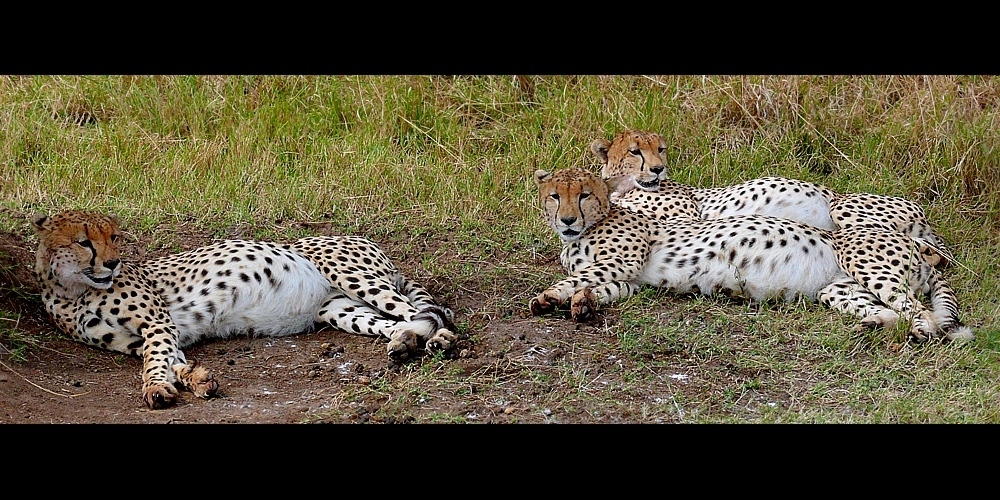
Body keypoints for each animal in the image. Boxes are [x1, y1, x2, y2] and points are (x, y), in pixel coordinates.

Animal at [32, 209, 458, 408]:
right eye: (85, 242)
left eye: (115, 237)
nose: (113, 263)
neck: (73, 289)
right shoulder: (138, 338)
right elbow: (170, 360)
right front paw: (196, 379)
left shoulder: (157, 322)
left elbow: (156, 362)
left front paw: (155, 388)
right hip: (338, 309)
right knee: (393, 322)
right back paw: (404, 342)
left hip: (353, 275)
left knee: (428, 313)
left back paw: (441, 341)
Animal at [528, 168, 972, 344]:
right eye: (554, 196)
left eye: (583, 195)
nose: (567, 220)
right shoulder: (630, 278)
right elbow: (601, 287)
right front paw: (581, 304)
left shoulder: (623, 261)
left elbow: (578, 277)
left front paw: (551, 295)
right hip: (839, 289)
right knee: (892, 310)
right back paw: (875, 326)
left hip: (865, 258)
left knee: (921, 312)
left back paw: (919, 332)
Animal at [592, 129, 952, 262]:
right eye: (636, 151)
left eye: (661, 150)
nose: (658, 169)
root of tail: (921, 212)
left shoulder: (686, 217)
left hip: (844, 208)